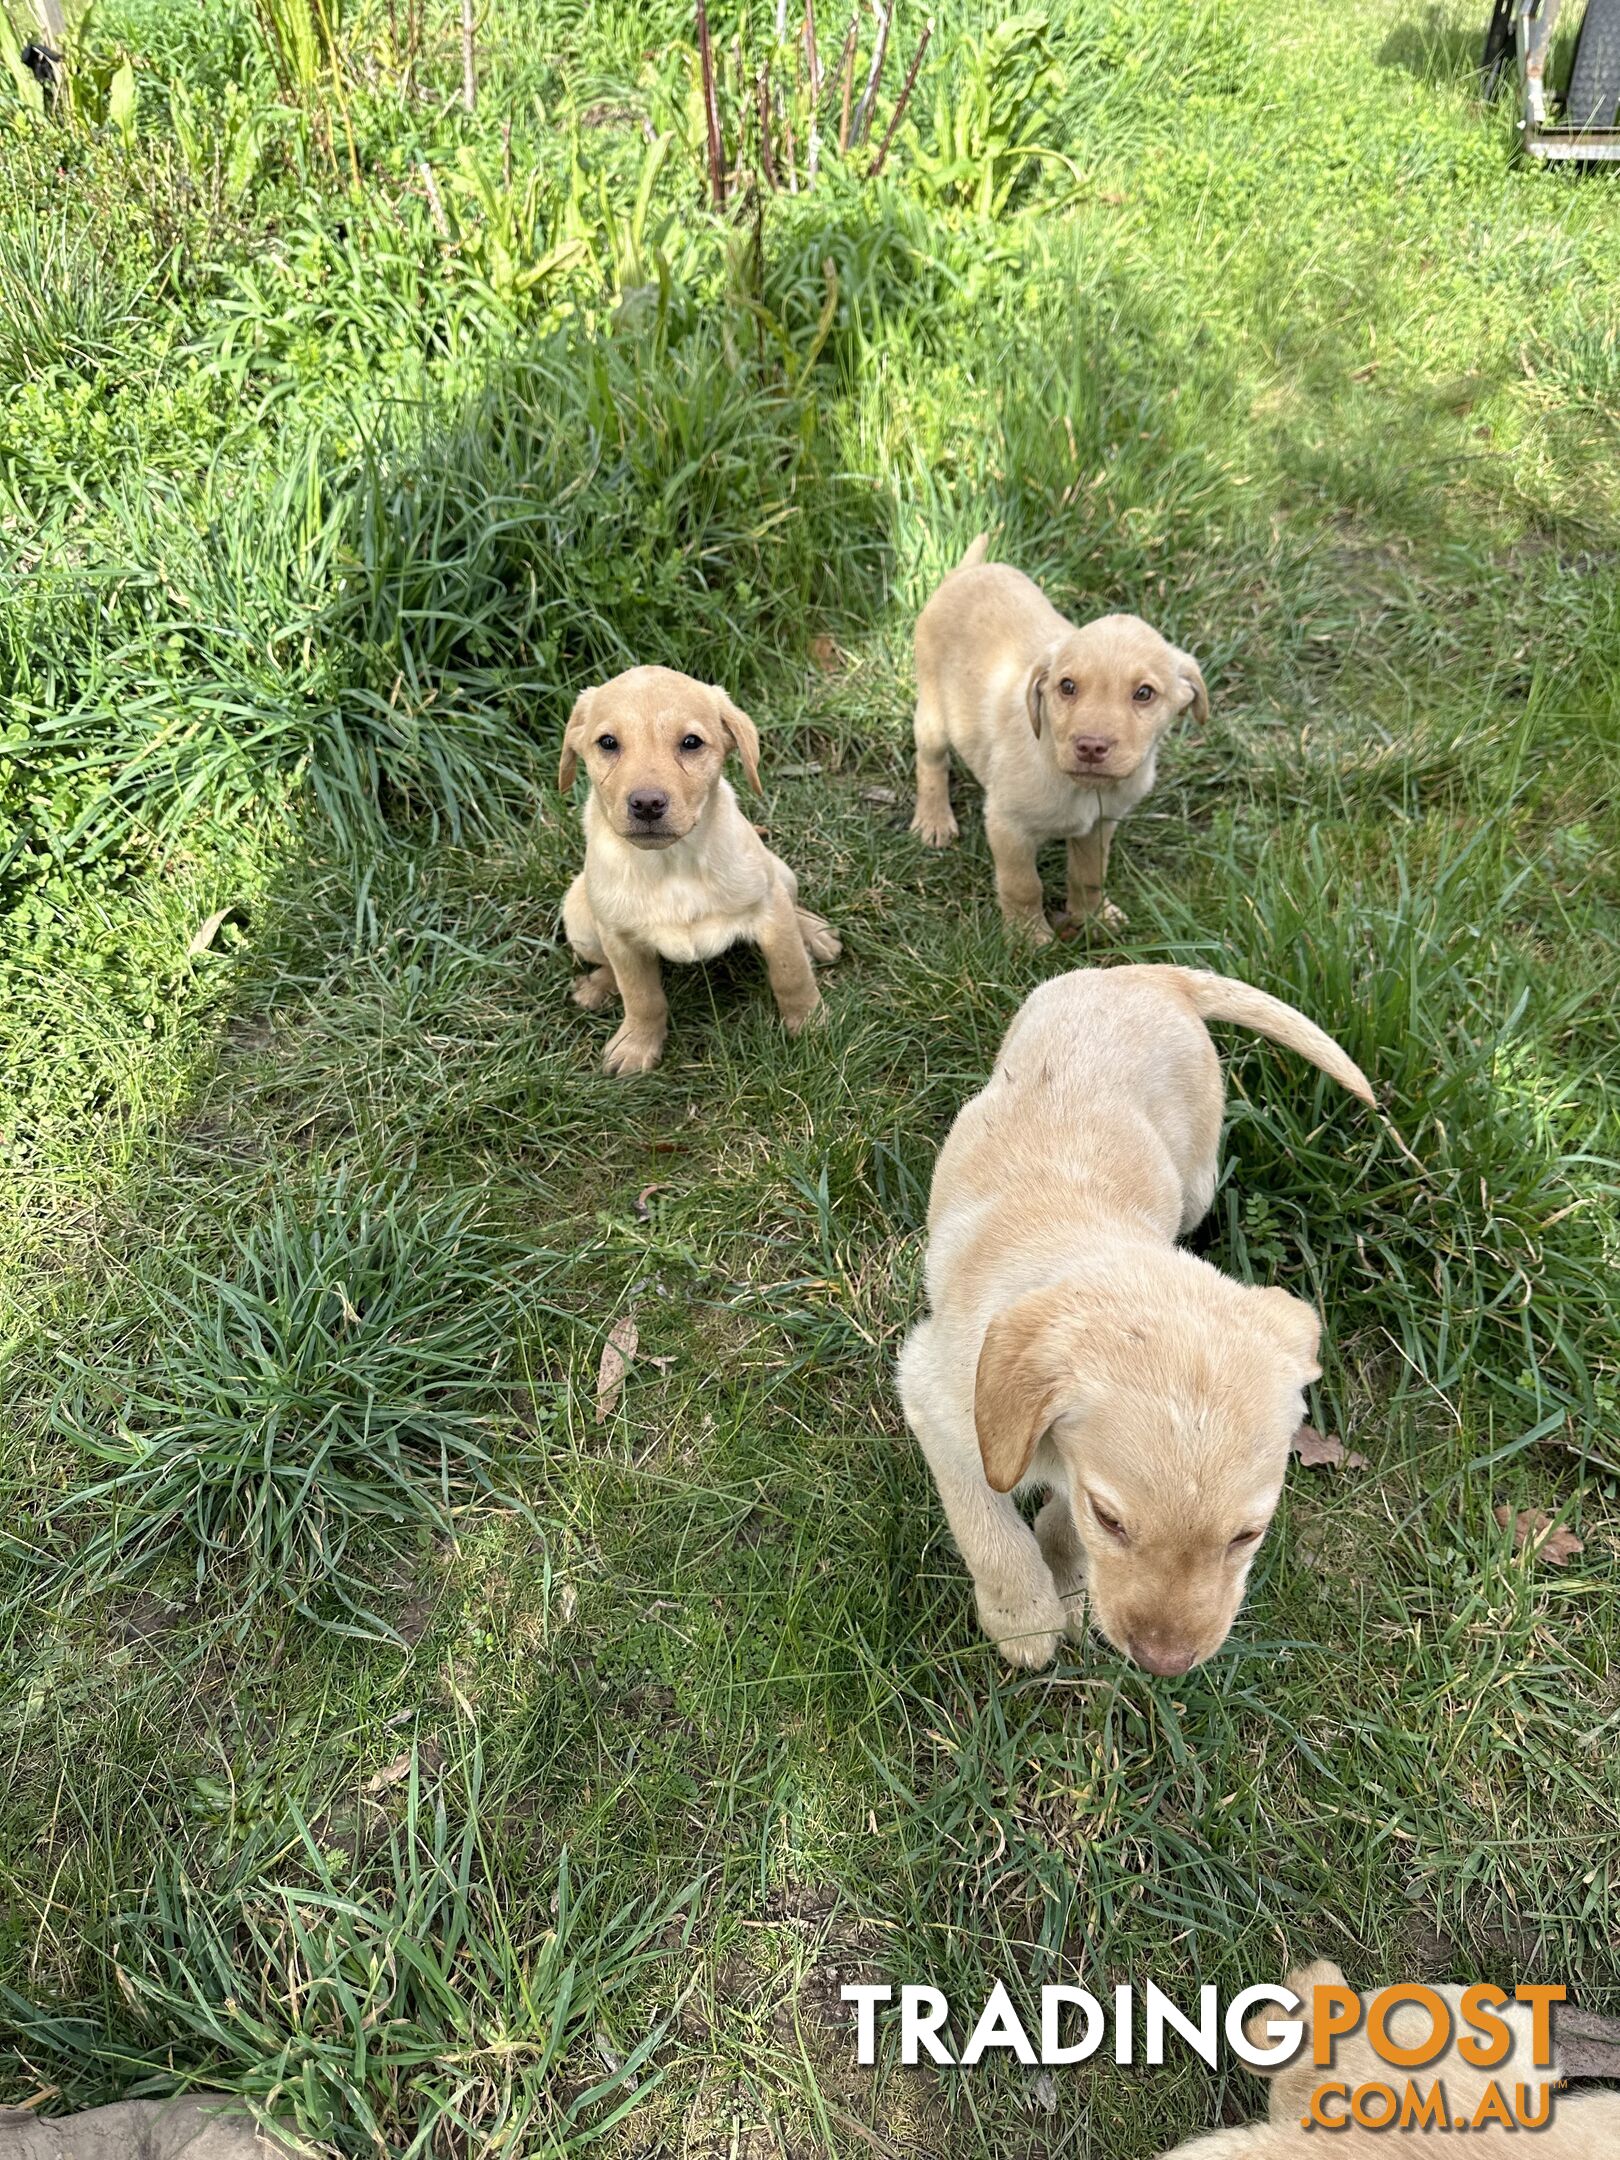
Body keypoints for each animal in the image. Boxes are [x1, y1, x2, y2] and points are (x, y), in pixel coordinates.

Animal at [561, 660, 842, 1075]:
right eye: (608, 743)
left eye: (691, 742)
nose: (647, 804)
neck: (672, 862)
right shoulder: (619, 937)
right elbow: (641, 996)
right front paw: (636, 1044)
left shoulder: (769, 911)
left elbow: (790, 972)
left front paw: (808, 1022)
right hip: (580, 919)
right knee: (611, 965)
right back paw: (599, 984)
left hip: (779, 872)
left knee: (791, 903)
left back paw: (814, 933)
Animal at [894, 963, 1373, 1667]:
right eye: (1112, 1519)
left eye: (1247, 1534)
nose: (1162, 1664)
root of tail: (1151, 973)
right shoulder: (933, 1399)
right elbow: (990, 1531)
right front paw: (1025, 1619)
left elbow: (1057, 1519)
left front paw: (1066, 1580)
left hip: (1199, 1178)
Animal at [915, 531, 1209, 937]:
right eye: (1067, 687)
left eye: (1144, 693)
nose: (1091, 746)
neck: (1080, 786)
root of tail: (967, 572)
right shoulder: (1008, 826)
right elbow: (1023, 885)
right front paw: (1029, 937)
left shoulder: (1101, 824)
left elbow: (1089, 875)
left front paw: (1093, 917)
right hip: (933, 712)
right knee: (931, 762)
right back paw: (934, 819)